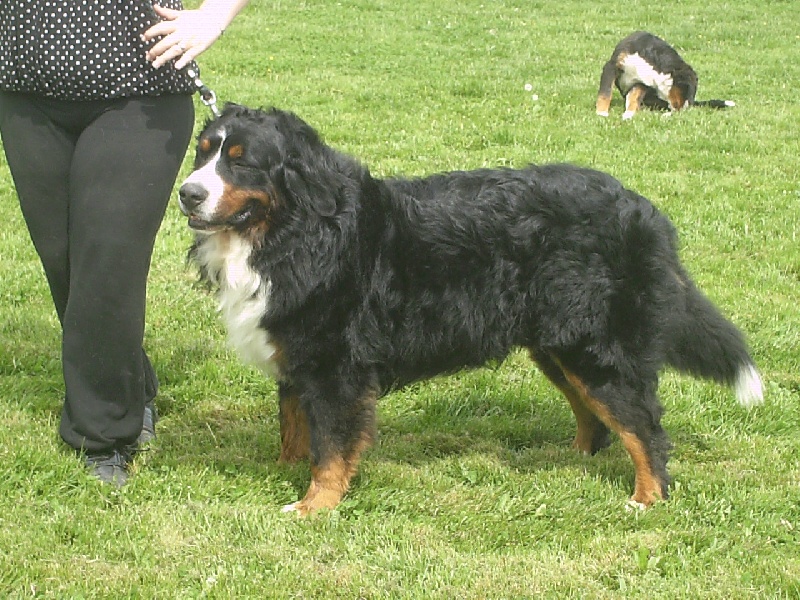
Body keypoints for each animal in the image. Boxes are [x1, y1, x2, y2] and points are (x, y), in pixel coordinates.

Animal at [178, 104, 762, 515]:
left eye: (241, 161)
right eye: (202, 154)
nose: (187, 193)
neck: (294, 232)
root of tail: (642, 209)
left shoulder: (333, 367)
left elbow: (331, 445)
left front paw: (314, 505)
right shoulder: (295, 356)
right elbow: (295, 429)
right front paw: (284, 472)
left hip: (595, 347)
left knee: (643, 427)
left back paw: (647, 499)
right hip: (557, 344)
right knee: (595, 416)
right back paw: (569, 462)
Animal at [596, 31, 735, 119]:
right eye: (690, 89)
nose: (689, 104)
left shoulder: (640, 83)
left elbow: (634, 98)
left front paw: (629, 114)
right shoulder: (611, 67)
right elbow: (605, 93)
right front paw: (602, 113)